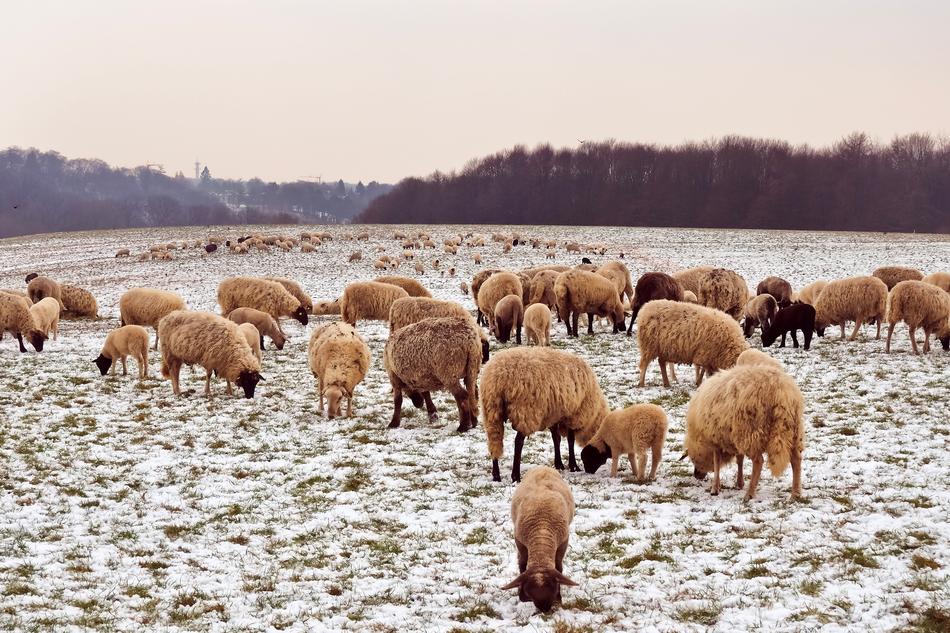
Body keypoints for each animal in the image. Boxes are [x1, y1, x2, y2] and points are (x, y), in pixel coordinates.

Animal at [483, 347, 609, 482]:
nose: (589, 471)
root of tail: (499, 376)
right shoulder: (574, 414)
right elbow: (570, 440)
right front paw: (573, 466)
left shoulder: (555, 415)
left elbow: (556, 438)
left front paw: (559, 464)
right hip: (525, 412)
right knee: (518, 442)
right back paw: (516, 475)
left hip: (491, 412)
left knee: (494, 441)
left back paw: (496, 475)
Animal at [501, 466, 578, 612]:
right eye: (530, 592)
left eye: (554, 589)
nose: (544, 610)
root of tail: (543, 467)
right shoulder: (521, 543)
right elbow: (522, 564)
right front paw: (521, 597)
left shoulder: (563, 543)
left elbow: (559, 567)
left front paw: (559, 599)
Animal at [683, 364, 804, 501]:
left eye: (693, 459)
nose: (696, 475)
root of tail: (780, 392)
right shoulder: (731, 436)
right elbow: (739, 460)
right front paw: (739, 483)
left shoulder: (716, 438)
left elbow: (716, 462)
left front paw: (715, 488)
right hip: (793, 430)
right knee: (796, 459)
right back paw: (795, 493)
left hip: (750, 431)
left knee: (758, 461)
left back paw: (749, 494)